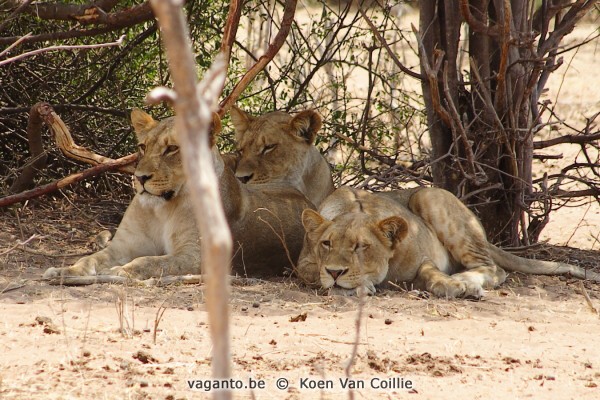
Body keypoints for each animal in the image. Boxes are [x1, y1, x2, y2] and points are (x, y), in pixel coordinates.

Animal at [43, 108, 314, 280]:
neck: (161, 209)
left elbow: (151, 262)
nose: (140, 178)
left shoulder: (197, 256)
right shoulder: (123, 246)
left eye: (172, 149)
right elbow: (89, 260)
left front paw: (121, 271)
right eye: (143, 147)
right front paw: (65, 271)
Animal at [296, 187, 600, 296]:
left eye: (361, 246)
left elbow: (432, 273)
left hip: (429, 195)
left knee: (494, 269)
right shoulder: (302, 264)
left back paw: (467, 282)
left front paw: (452, 286)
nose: (335, 272)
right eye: (326, 244)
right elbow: (314, 274)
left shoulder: (425, 259)